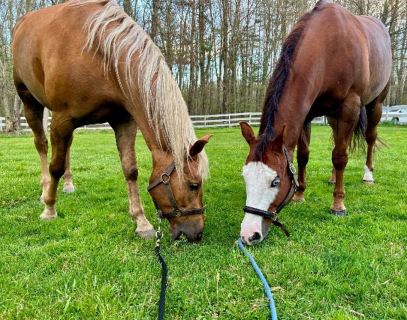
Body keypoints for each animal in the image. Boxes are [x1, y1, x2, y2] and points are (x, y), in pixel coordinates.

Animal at [11, 0, 212, 240]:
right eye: (193, 185)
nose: (197, 234)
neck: (100, 55)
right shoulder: (62, 117)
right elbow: (55, 167)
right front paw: (49, 209)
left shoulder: (123, 120)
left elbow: (130, 169)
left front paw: (141, 222)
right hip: (29, 100)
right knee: (41, 145)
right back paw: (44, 191)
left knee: (66, 146)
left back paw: (68, 184)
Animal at [239, 0, 392, 245]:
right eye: (245, 177)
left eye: (275, 181)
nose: (248, 234)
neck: (328, 47)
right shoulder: (307, 113)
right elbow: (304, 155)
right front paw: (300, 193)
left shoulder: (349, 107)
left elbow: (340, 157)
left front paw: (338, 204)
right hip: (333, 117)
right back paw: (333, 178)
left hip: (374, 104)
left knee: (369, 138)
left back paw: (368, 175)